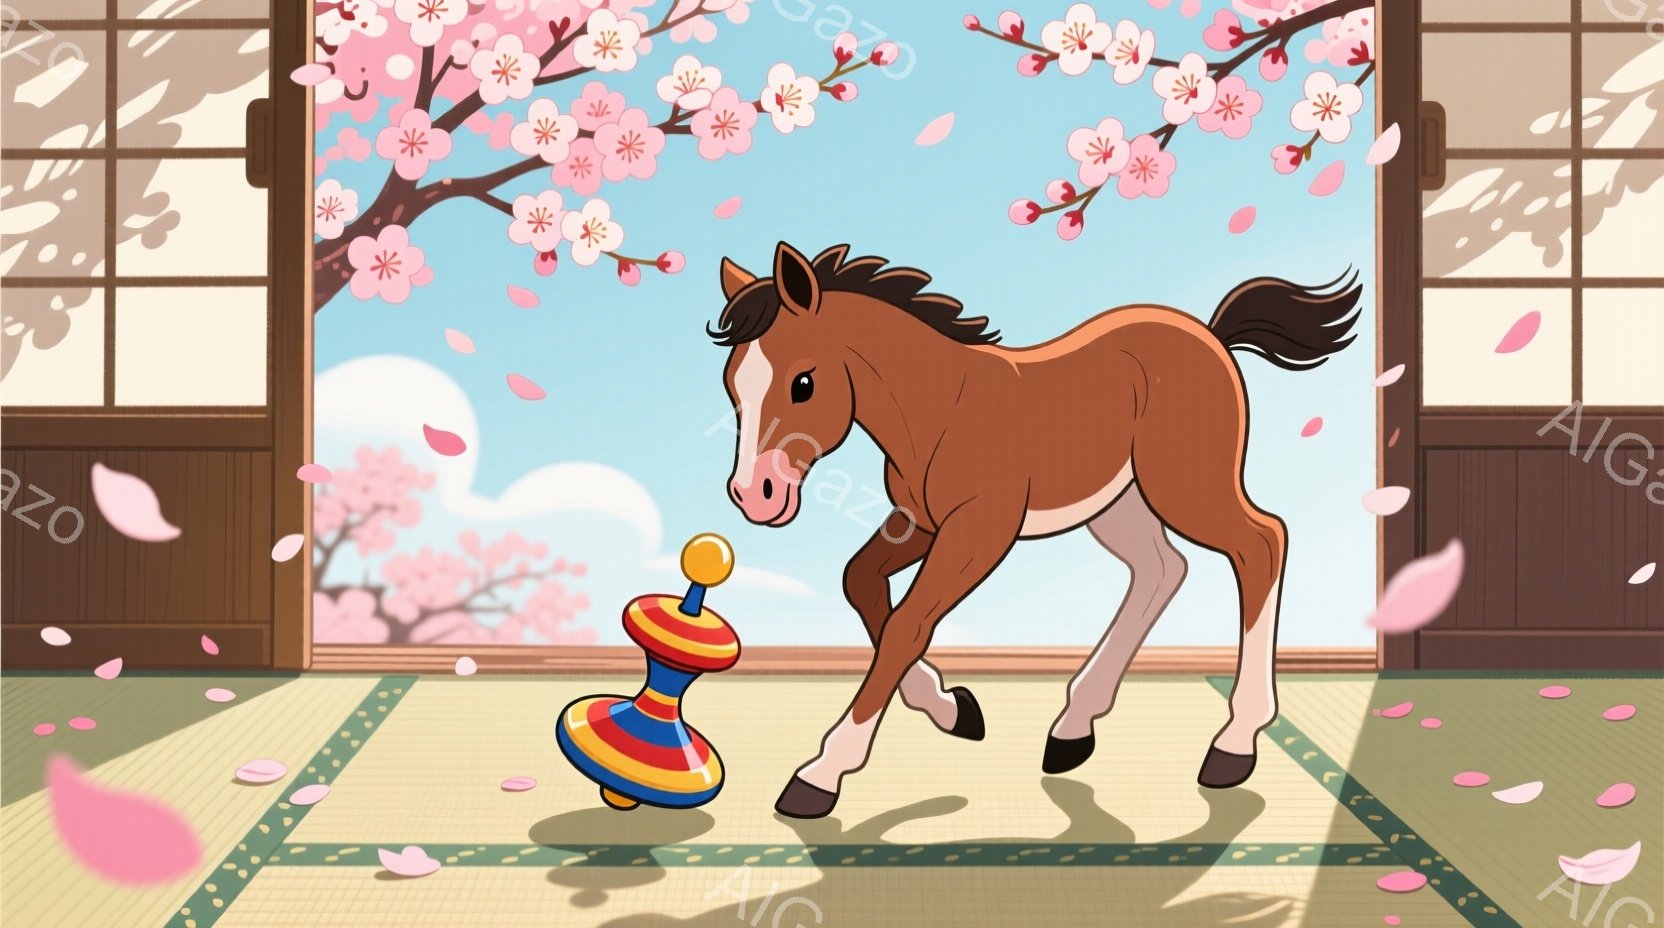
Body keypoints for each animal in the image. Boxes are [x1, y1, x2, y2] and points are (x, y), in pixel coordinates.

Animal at [710, 242, 1361, 819]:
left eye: (803, 382)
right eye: (732, 385)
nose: (754, 495)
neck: (939, 408)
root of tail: (1210, 333)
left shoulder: (979, 531)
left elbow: (908, 625)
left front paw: (820, 775)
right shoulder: (919, 523)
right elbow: (861, 584)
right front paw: (954, 709)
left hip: (1186, 487)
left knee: (1261, 542)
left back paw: (1233, 744)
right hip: (1118, 503)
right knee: (1161, 569)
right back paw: (1073, 730)